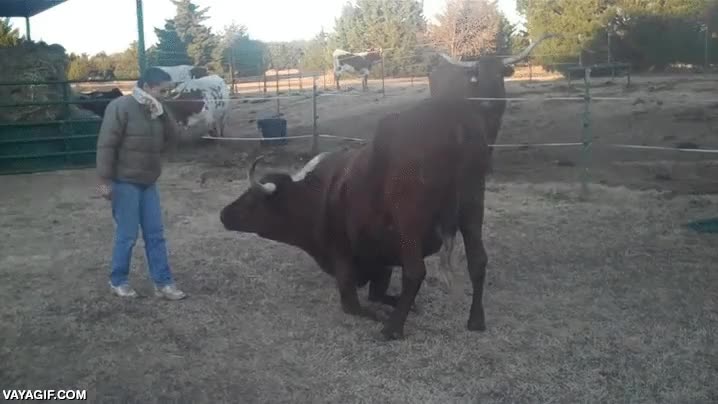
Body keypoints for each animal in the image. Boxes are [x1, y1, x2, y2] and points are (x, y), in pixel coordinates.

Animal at [220, 95, 493, 340]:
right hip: (472, 205)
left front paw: (383, 316)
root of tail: (451, 114)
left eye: (251, 199)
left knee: (415, 272)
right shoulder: (381, 260)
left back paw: (392, 329)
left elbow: (353, 306)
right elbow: (377, 294)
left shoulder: (342, 256)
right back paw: (476, 320)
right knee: (478, 260)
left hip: (409, 221)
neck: (319, 195)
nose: (223, 215)